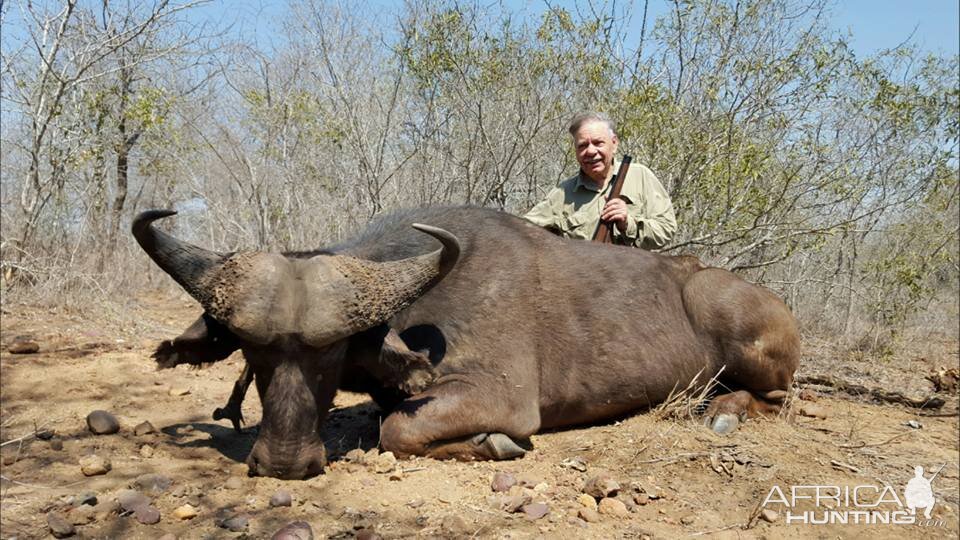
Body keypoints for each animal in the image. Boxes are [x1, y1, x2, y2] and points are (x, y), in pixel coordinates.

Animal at [131, 205, 800, 478]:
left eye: (332, 353)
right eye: (253, 350)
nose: (285, 464)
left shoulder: (501, 397)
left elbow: (397, 431)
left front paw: (494, 444)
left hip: (736, 325)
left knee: (779, 399)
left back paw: (722, 412)